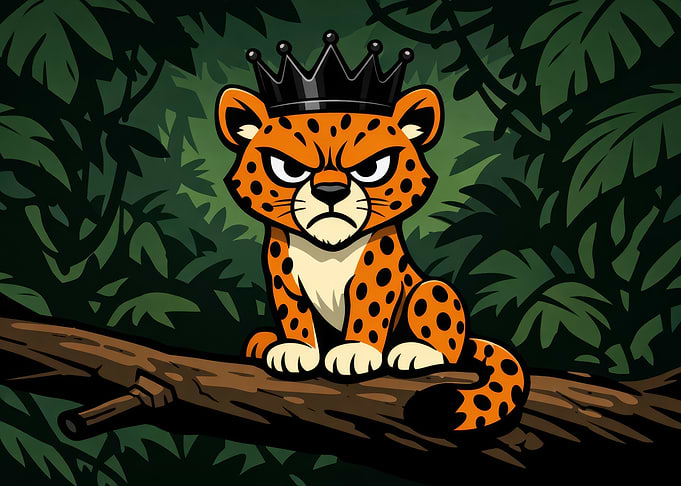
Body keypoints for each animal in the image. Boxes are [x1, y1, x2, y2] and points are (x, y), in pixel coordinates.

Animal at [215, 32, 527, 431]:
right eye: (288, 168)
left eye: (372, 168)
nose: (330, 190)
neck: (327, 249)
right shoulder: (281, 272)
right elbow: (293, 311)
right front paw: (296, 349)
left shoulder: (379, 270)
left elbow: (369, 309)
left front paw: (356, 353)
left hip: (431, 290)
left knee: (451, 343)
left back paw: (415, 352)